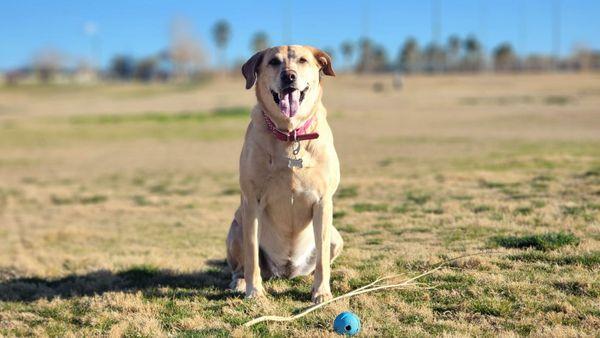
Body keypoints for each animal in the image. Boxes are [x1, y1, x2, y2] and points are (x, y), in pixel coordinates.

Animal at [226, 45, 342, 304]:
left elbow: (322, 260)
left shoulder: (323, 202)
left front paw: (321, 292)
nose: (289, 76)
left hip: (335, 237)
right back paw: (240, 282)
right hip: (237, 226)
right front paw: (255, 292)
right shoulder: (252, 202)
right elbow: (251, 257)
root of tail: (286, 270)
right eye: (273, 62)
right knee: (241, 266)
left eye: (303, 60)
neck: (291, 135)